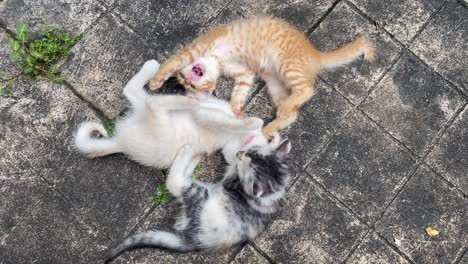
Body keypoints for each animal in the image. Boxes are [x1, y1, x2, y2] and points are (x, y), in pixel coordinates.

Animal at [75, 59, 268, 169]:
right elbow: (232, 121)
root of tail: (120, 143)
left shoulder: (215, 128)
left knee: (143, 98)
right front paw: (252, 121)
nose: (247, 152)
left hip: (152, 116)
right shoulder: (209, 112)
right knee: (146, 98)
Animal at [105, 138, 292, 262]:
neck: (275, 190)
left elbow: (230, 165)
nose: (240, 153)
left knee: (174, 182)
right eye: (249, 151)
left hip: (198, 195)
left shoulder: (231, 178)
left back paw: (187, 151)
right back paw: (195, 157)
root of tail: (193, 241)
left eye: (242, 160)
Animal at [150, 16, 376, 136]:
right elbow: (241, 90)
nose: (188, 81)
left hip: (287, 65)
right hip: (276, 84)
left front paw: (156, 79)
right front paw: (236, 108)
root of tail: (315, 54)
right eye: (190, 87)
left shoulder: (196, 49)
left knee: (306, 89)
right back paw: (268, 129)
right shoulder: (244, 72)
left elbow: (173, 61)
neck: (216, 59)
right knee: (293, 113)